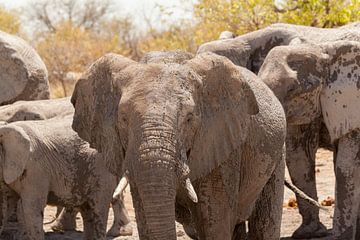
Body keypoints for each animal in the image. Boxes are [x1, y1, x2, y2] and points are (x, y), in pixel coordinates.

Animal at [70, 51, 286, 240]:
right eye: (123, 118)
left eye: (189, 118)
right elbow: (146, 219)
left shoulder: (220, 141)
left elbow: (214, 225)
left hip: (277, 152)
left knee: (264, 225)